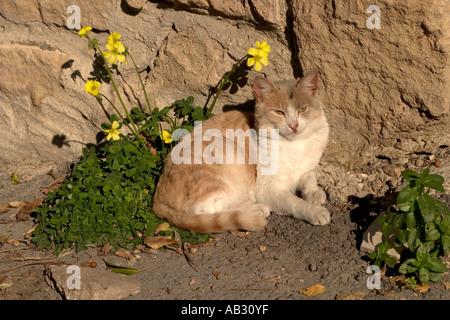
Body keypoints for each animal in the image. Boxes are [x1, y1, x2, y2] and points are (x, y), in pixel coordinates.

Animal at [153, 70, 328, 234]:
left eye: (303, 109)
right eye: (279, 112)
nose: (293, 125)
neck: (296, 145)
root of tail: (158, 198)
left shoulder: (306, 168)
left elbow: (308, 178)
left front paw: (315, 194)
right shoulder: (268, 189)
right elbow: (295, 203)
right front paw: (315, 211)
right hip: (224, 150)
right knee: (206, 210)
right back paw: (255, 210)